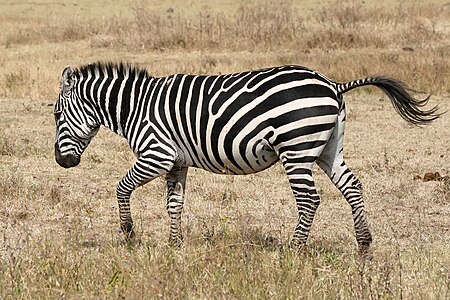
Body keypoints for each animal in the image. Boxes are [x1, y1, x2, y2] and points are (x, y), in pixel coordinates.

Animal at [53, 62, 440, 253]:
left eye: (56, 115)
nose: (61, 163)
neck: (135, 106)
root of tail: (332, 84)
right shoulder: (176, 162)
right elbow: (174, 204)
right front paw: (174, 246)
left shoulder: (156, 154)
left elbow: (121, 188)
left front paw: (129, 233)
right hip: (329, 148)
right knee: (353, 187)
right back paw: (364, 245)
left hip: (296, 150)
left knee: (309, 199)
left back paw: (294, 250)